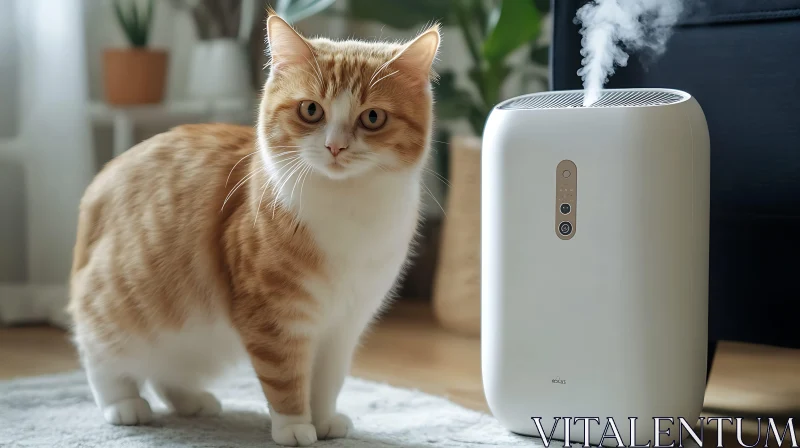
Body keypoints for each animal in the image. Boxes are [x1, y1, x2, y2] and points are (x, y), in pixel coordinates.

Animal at [68, 14, 440, 448]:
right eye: (311, 110)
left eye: (373, 117)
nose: (335, 147)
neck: (348, 209)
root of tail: (101, 181)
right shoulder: (274, 318)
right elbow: (286, 379)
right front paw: (295, 426)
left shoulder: (345, 324)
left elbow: (327, 381)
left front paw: (324, 420)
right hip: (121, 311)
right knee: (101, 358)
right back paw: (124, 405)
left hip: (186, 343)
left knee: (165, 373)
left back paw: (191, 401)